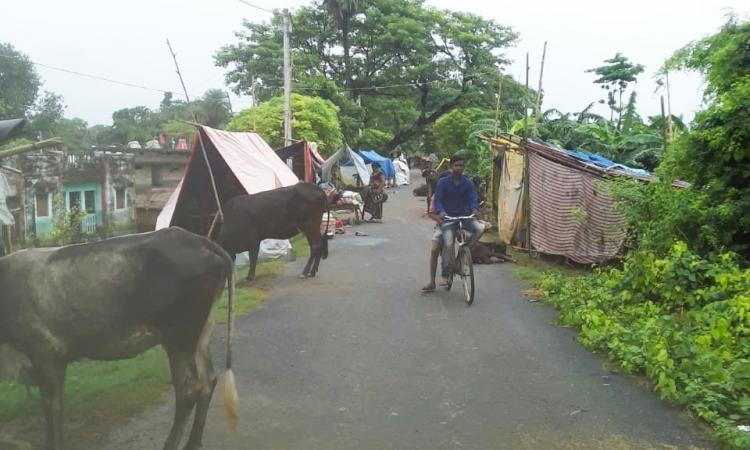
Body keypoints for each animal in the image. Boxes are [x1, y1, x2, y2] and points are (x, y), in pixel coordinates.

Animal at [0, 229, 238, 450]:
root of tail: (195, 239)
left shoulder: (42, 352)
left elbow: (51, 407)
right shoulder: (57, 359)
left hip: (179, 339)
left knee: (189, 391)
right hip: (200, 335)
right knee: (208, 381)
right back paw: (193, 443)